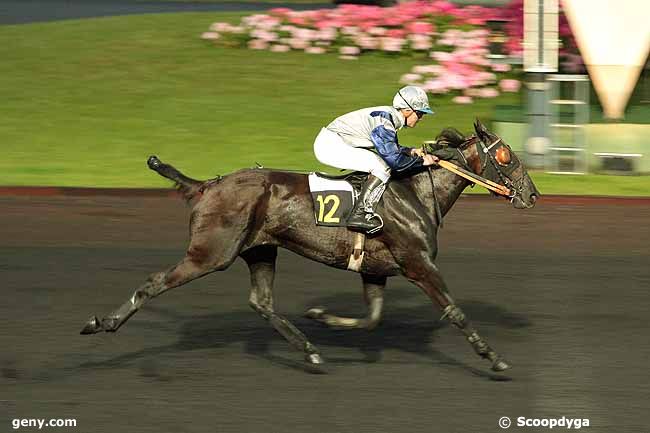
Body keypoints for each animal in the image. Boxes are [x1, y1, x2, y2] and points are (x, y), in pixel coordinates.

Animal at [79, 119, 536, 372]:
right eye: (507, 155)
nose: (532, 195)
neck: (415, 191)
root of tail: (209, 184)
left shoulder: (375, 271)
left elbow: (371, 319)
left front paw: (322, 317)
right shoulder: (418, 263)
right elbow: (454, 312)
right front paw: (492, 357)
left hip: (260, 249)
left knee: (261, 302)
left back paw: (310, 350)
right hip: (212, 252)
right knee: (154, 282)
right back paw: (102, 323)